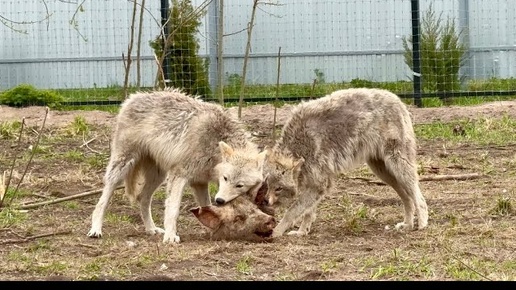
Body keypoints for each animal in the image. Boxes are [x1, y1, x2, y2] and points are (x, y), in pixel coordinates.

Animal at [86, 88, 268, 242]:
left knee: (142, 199)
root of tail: (133, 97)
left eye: (239, 185)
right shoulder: (180, 175)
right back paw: (96, 229)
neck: (214, 143)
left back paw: (151, 229)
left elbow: (206, 207)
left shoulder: (199, 182)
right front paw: (170, 237)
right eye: (225, 178)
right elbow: (173, 209)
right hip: (123, 167)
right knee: (103, 200)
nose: (220, 200)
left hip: (158, 177)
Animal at [214, 88, 428, 238]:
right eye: (266, 186)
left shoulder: (319, 185)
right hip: (384, 173)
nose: (265, 201)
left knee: (418, 196)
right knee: (407, 198)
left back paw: (422, 224)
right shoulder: (313, 187)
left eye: (279, 189)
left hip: (399, 168)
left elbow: (292, 212)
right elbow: (308, 213)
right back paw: (407, 225)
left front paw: (277, 232)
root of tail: (399, 100)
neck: (300, 146)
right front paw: (302, 232)